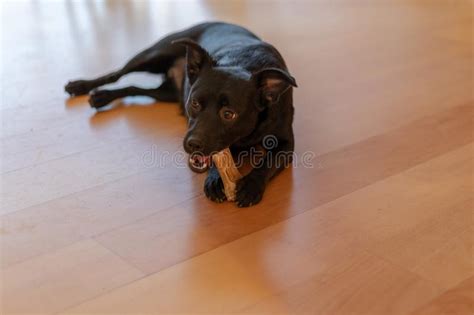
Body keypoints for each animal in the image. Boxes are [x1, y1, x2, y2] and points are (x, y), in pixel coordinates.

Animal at [65, 22, 298, 210]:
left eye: (229, 114)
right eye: (194, 103)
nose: (193, 143)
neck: (243, 63)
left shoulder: (286, 143)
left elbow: (268, 162)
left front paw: (251, 185)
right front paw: (216, 178)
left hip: (164, 93)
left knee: (134, 88)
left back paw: (102, 97)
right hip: (153, 56)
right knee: (117, 73)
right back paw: (82, 86)